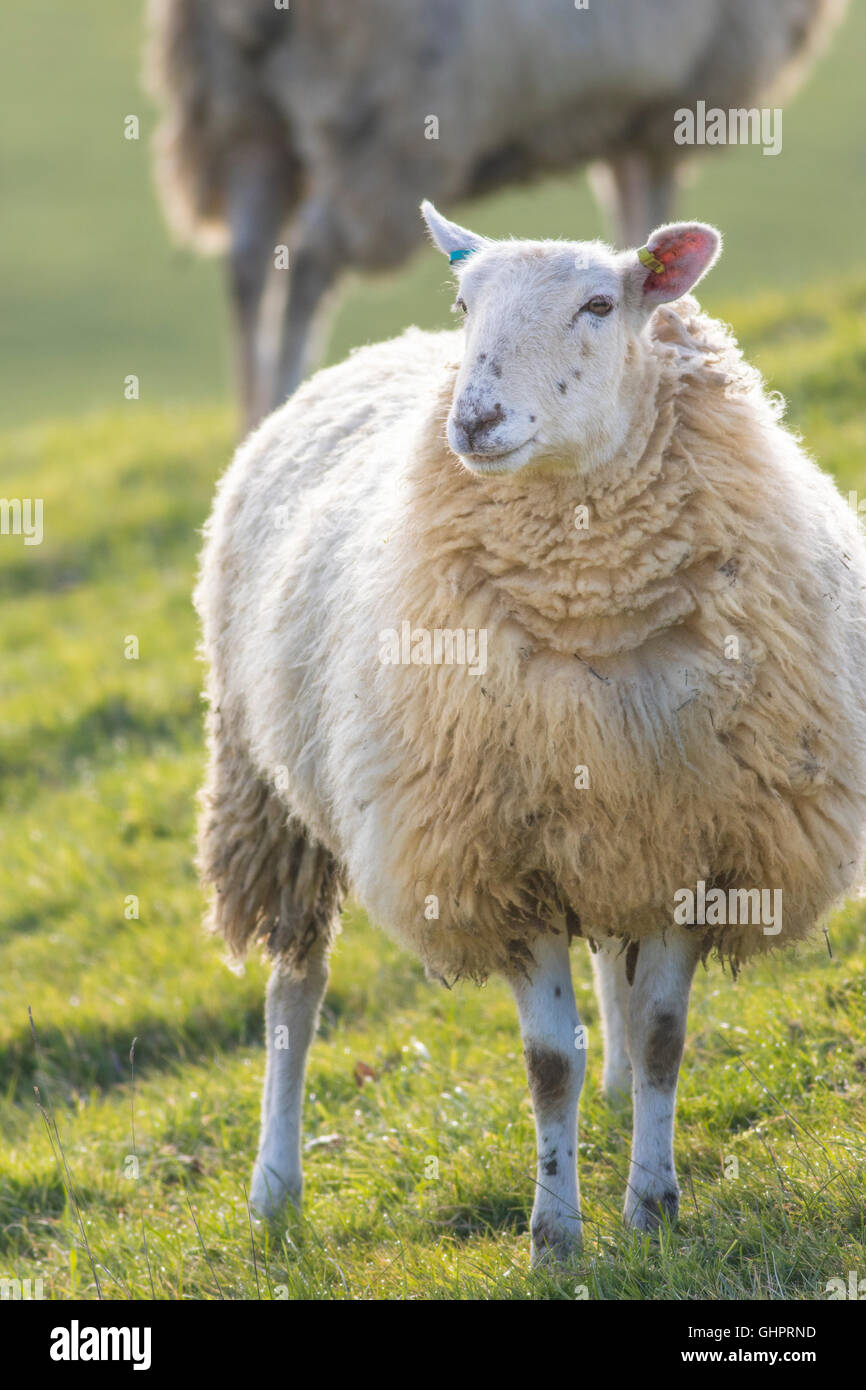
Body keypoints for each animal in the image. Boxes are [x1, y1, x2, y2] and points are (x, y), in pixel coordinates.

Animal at [143, 0, 845, 430]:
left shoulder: (623, 113)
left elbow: (629, 214)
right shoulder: (670, 106)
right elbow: (650, 204)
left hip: (238, 112)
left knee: (249, 260)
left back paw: (254, 418)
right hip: (383, 114)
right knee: (311, 259)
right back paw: (282, 394)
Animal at [194, 202, 866, 1262]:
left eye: (600, 304)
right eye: (464, 303)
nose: (473, 420)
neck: (593, 604)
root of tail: (379, 349)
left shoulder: (693, 837)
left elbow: (665, 1035)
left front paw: (653, 1208)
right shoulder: (499, 863)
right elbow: (549, 1062)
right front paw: (556, 1234)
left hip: (606, 828)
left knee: (615, 988)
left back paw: (621, 1095)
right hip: (271, 795)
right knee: (292, 995)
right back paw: (275, 1189)